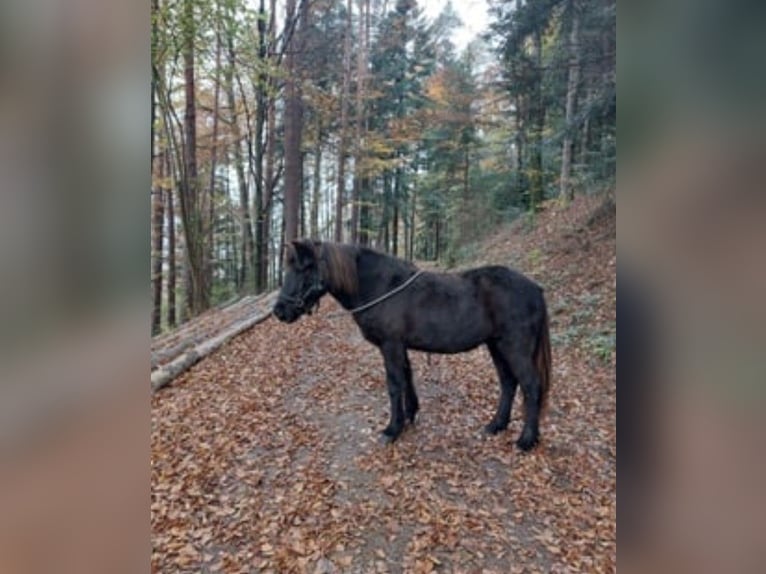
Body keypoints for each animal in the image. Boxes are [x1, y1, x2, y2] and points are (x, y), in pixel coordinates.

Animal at [273, 239, 551, 451]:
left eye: (303, 268)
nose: (279, 311)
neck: (382, 287)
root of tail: (535, 289)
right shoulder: (400, 347)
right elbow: (407, 378)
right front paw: (409, 415)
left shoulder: (391, 345)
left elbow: (395, 384)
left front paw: (392, 429)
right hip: (497, 346)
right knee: (508, 383)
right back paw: (496, 425)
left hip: (514, 348)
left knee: (530, 386)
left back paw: (526, 440)